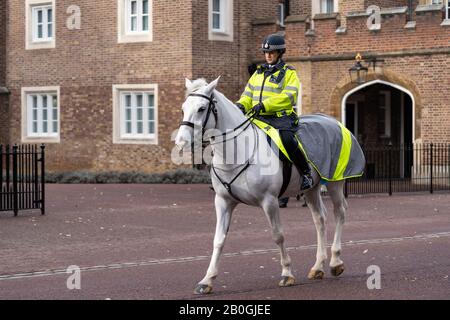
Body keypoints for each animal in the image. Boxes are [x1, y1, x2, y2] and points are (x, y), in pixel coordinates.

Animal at [176, 77, 348, 296]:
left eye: (201, 108)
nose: (181, 141)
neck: (238, 152)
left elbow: (278, 236)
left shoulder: (270, 201)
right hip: (311, 190)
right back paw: (318, 267)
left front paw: (287, 273)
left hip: (335, 183)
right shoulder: (223, 202)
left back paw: (336, 262)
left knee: (339, 213)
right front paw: (207, 280)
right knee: (320, 219)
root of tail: (333, 121)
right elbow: (218, 240)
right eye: (183, 108)